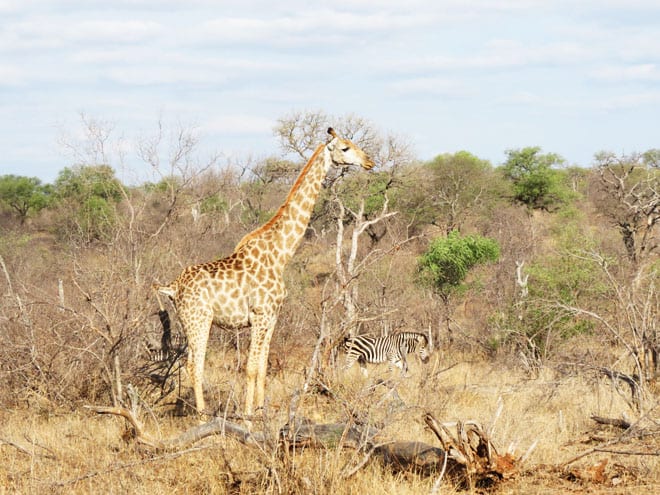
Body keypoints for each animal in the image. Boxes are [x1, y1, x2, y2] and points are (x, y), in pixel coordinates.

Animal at [151, 128, 374, 418]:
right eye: (345, 148)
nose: (370, 161)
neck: (281, 253)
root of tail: (173, 287)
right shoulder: (259, 315)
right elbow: (250, 368)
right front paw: (248, 417)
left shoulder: (272, 317)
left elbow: (263, 367)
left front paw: (260, 410)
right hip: (199, 320)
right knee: (194, 366)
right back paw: (202, 416)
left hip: (192, 322)